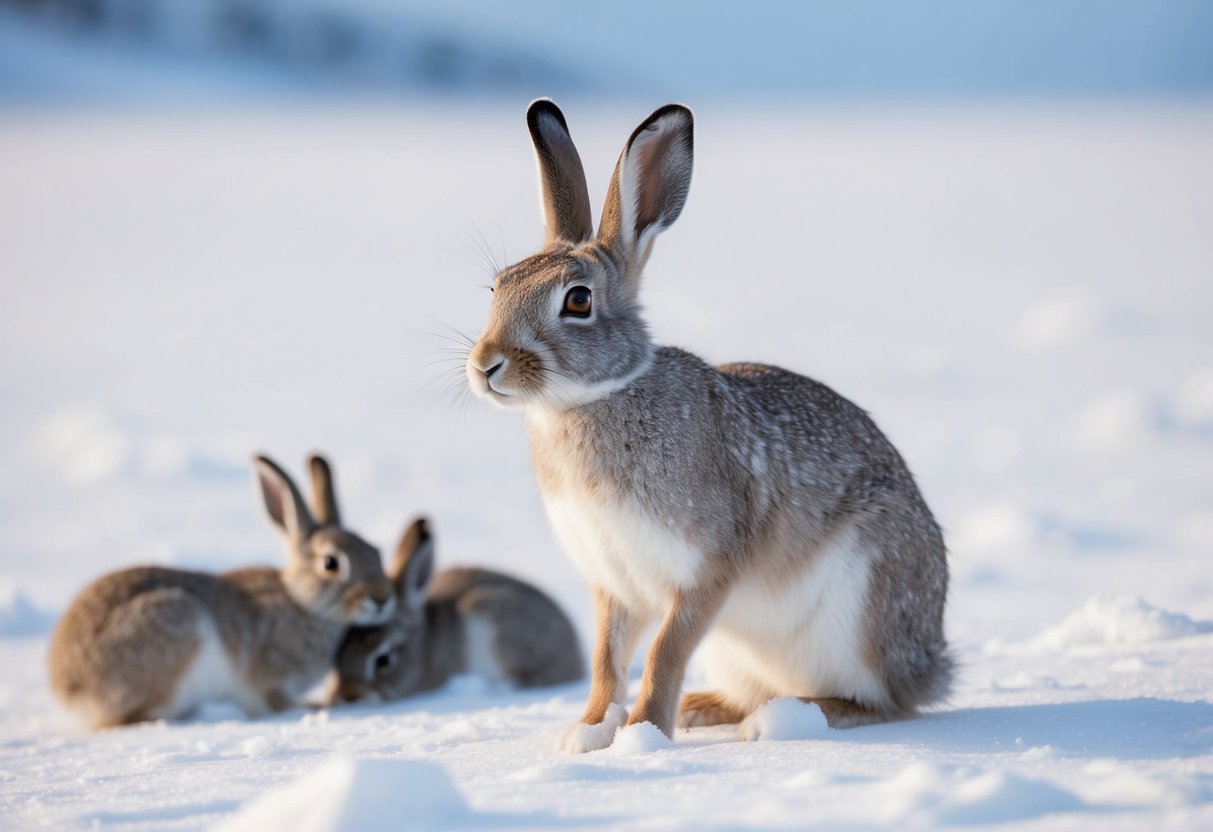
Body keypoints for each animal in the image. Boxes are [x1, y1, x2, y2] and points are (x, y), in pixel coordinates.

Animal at [48, 454, 396, 729]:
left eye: (376, 552)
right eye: (330, 563)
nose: (382, 599)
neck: (303, 604)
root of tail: (69, 686)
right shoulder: (270, 681)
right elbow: (276, 703)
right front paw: (319, 707)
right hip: (175, 626)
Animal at [463, 100, 952, 752]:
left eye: (578, 301)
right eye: (497, 286)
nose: (485, 364)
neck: (593, 399)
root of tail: (933, 663)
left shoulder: (707, 571)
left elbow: (664, 653)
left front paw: (643, 736)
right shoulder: (614, 584)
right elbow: (606, 661)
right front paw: (587, 733)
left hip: (862, 606)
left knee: (884, 702)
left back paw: (781, 720)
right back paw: (706, 709)